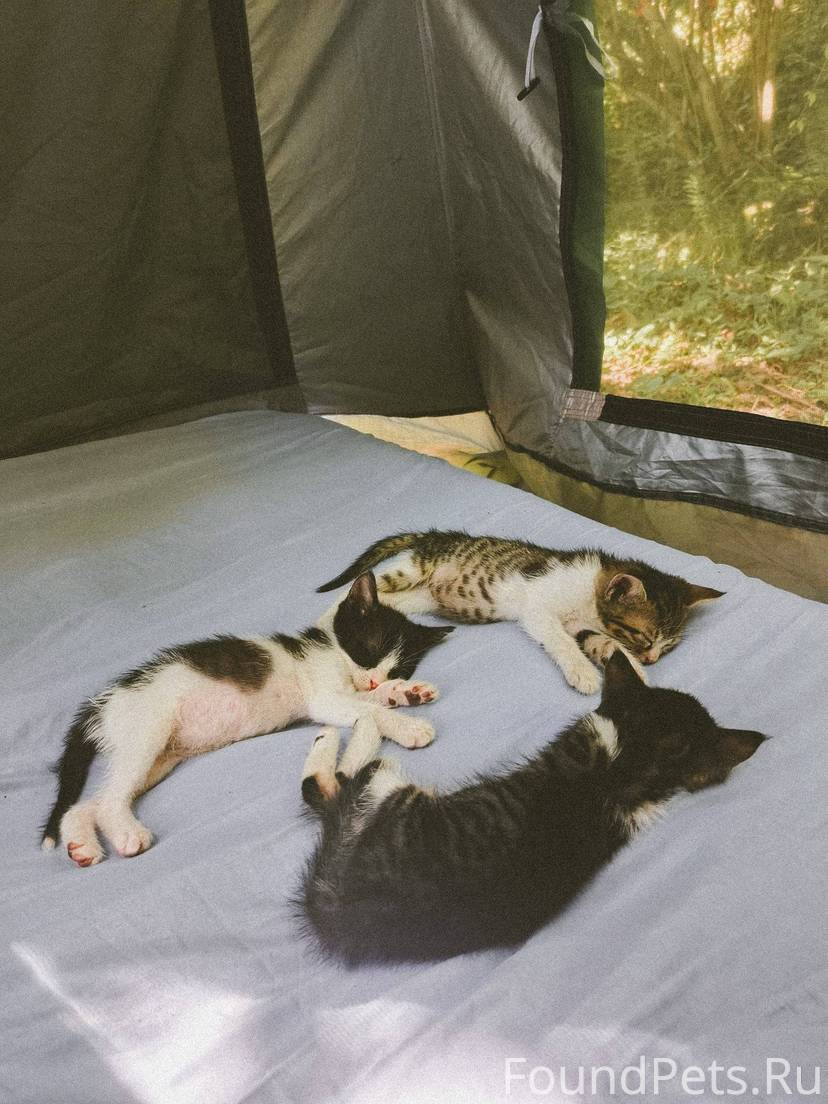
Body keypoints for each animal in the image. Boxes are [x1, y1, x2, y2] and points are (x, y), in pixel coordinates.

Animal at [41, 573, 452, 867]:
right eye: (369, 648)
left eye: (397, 666)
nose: (377, 678)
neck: (331, 649)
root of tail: (102, 703)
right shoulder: (324, 696)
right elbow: (368, 709)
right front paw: (411, 727)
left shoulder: (346, 692)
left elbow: (369, 700)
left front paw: (406, 692)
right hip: (146, 732)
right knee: (110, 800)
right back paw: (128, 835)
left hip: (158, 758)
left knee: (89, 803)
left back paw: (82, 845)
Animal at [318, 531, 724, 694]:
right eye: (644, 636)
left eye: (667, 646)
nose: (653, 658)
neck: (589, 597)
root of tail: (436, 536)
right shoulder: (539, 608)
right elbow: (561, 641)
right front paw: (582, 673)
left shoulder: (586, 626)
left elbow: (605, 645)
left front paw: (635, 670)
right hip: (412, 570)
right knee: (353, 591)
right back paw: (326, 621)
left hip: (422, 598)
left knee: (394, 603)